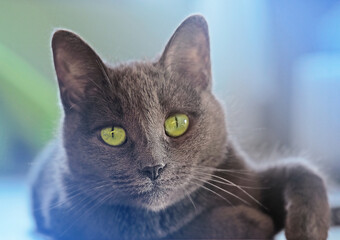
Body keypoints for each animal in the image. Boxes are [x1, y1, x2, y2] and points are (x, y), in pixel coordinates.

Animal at [30, 15, 330, 240]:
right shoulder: (74, 217)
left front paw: (308, 230)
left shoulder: (246, 175)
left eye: (176, 123)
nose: (153, 167)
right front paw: (253, 221)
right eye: (112, 134)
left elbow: (302, 171)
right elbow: (175, 232)